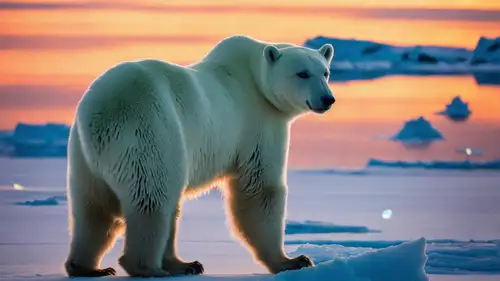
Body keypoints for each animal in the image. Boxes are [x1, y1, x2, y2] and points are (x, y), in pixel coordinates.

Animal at [63, 34, 336, 276]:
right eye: (302, 73)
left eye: (325, 72)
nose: (327, 98)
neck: (255, 80)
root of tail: (100, 114)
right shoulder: (258, 123)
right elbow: (260, 189)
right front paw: (292, 260)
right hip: (150, 130)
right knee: (152, 199)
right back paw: (149, 267)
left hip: (82, 155)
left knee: (93, 209)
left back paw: (91, 267)